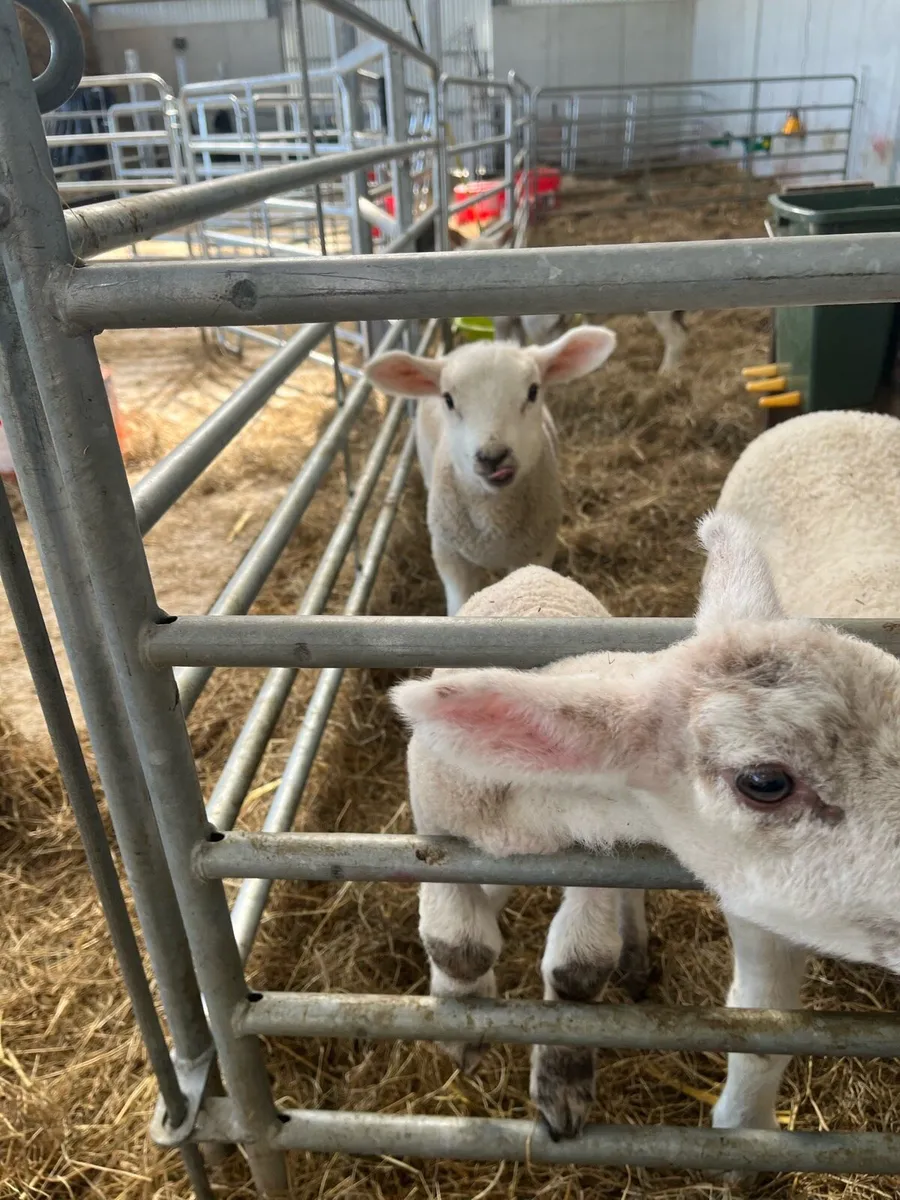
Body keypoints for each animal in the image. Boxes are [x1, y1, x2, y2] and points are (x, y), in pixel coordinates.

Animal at [364, 325, 617, 615]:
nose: (493, 457)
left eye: (533, 391)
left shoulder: (537, 551)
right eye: (448, 399)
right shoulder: (449, 554)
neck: (493, 519)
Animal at [392, 500, 900, 1147]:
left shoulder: (598, 850)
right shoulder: (432, 818)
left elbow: (580, 968)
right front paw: (463, 1019)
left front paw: (562, 1082)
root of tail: (531, 573)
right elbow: (458, 944)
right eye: (765, 783)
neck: (531, 815)